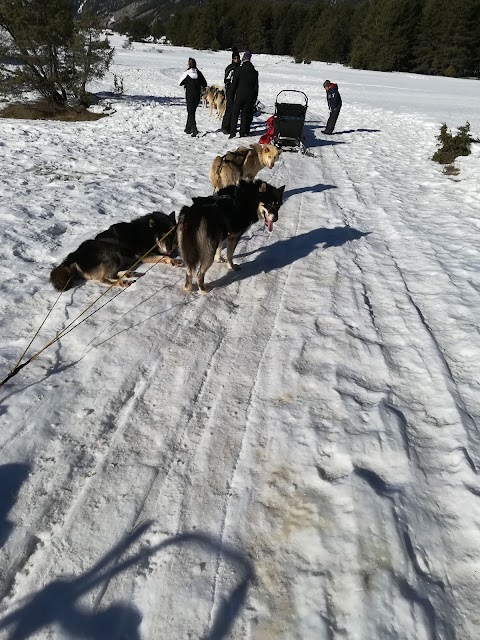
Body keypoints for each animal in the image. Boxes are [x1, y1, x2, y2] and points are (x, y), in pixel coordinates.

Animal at [50, 212, 182, 290]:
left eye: (172, 235)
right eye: (163, 236)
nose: (169, 248)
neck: (147, 233)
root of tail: (73, 256)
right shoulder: (143, 255)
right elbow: (164, 257)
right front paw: (173, 260)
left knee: (114, 274)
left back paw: (129, 274)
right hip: (113, 254)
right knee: (105, 279)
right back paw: (123, 282)